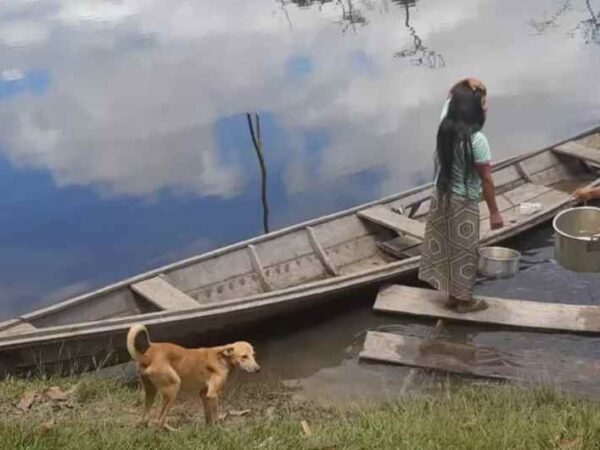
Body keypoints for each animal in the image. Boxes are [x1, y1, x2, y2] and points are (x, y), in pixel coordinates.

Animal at [125, 324, 258, 428]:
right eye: (244, 356)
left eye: (253, 354)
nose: (258, 369)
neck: (222, 358)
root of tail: (147, 356)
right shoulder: (213, 395)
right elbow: (215, 417)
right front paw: (220, 429)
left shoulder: (204, 394)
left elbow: (208, 417)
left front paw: (209, 429)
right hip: (173, 388)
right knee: (159, 420)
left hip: (150, 392)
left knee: (145, 419)